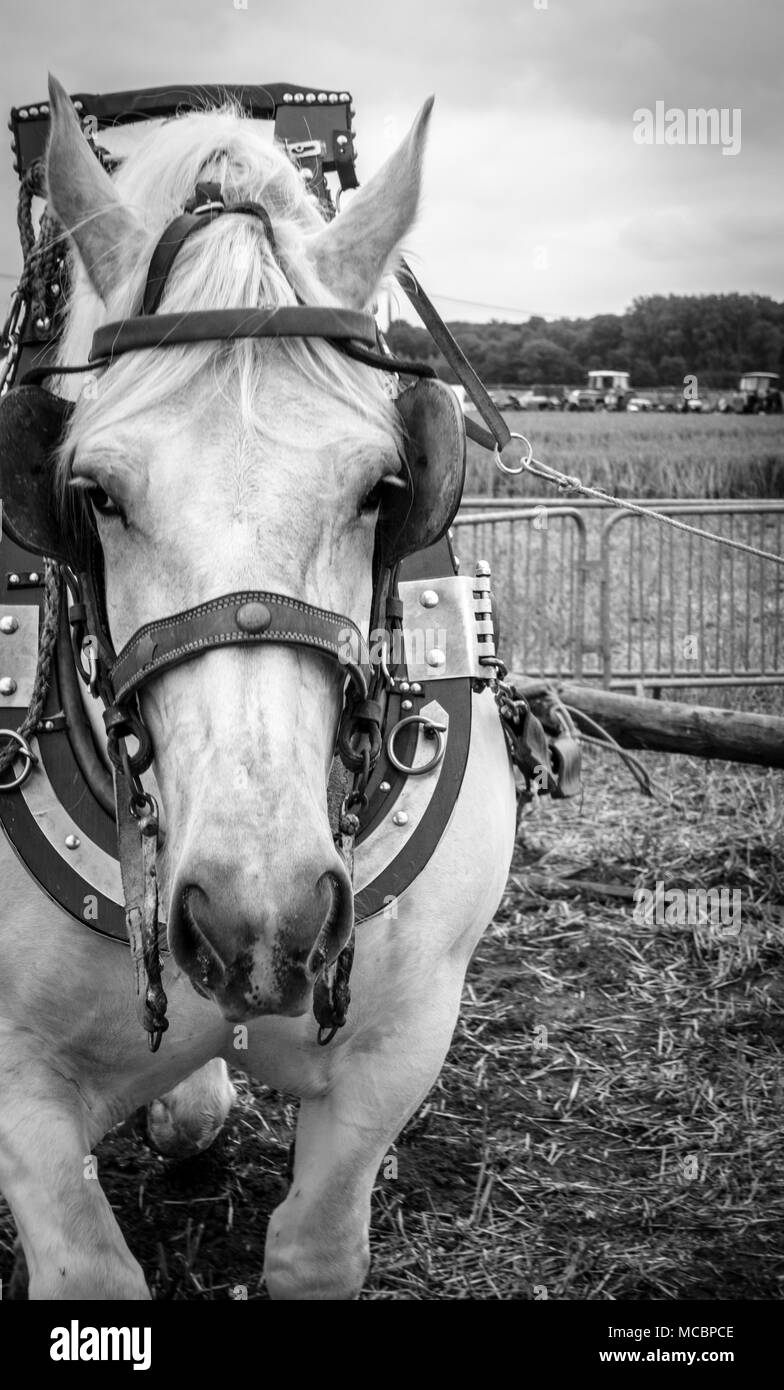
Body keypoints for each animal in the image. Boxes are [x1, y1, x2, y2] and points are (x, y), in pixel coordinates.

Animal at [0, 73, 514, 1289]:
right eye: (93, 493)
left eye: (385, 486)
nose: (260, 924)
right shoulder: (12, 1083)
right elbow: (89, 1270)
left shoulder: (400, 1044)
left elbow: (316, 1248)